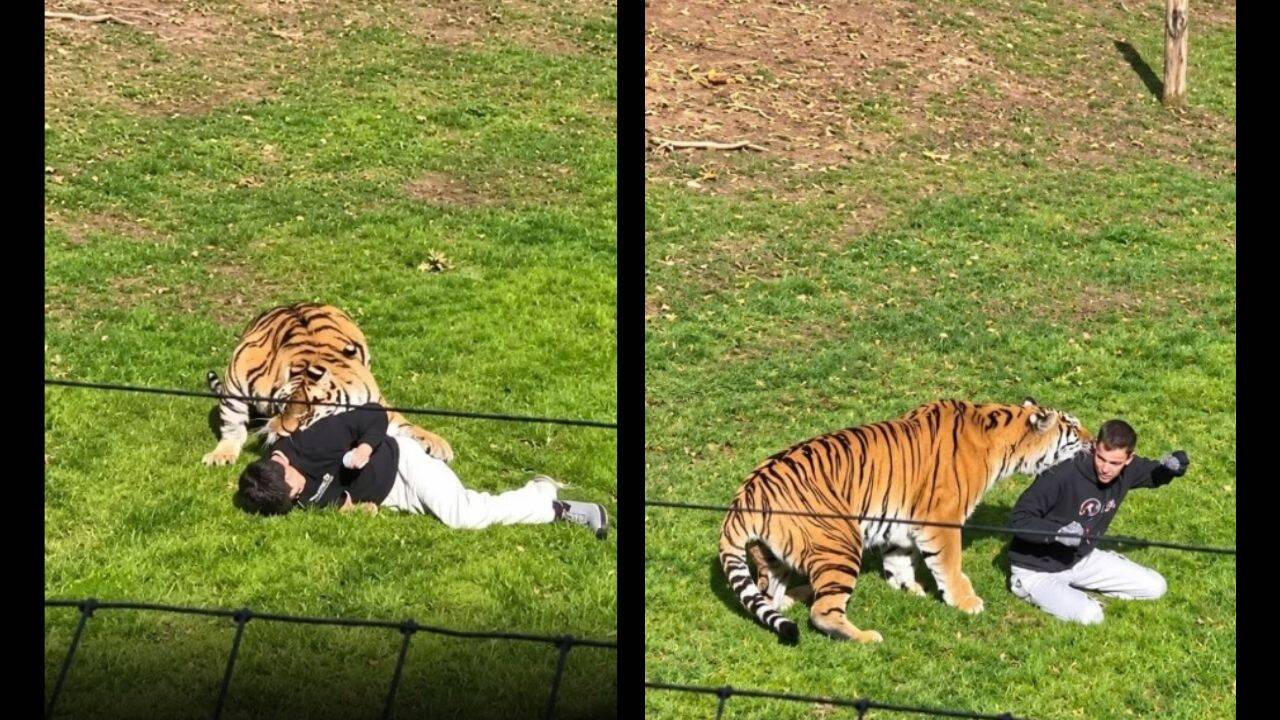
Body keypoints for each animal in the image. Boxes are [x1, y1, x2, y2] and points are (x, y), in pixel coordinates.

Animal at [201, 302, 454, 466]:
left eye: (306, 413)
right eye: (282, 407)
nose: (281, 432)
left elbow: (407, 426)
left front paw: (437, 445)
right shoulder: (238, 380)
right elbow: (233, 425)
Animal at [719, 398, 1089, 645]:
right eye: (1072, 428)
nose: (1091, 440)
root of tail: (746, 494)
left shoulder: (900, 521)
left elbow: (900, 559)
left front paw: (909, 588)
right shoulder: (941, 519)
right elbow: (950, 564)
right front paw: (966, 602)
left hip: (773, 555)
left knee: (770, 596)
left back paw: (793, 598)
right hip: (840, 542)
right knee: (823, 612)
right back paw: (865, 637)